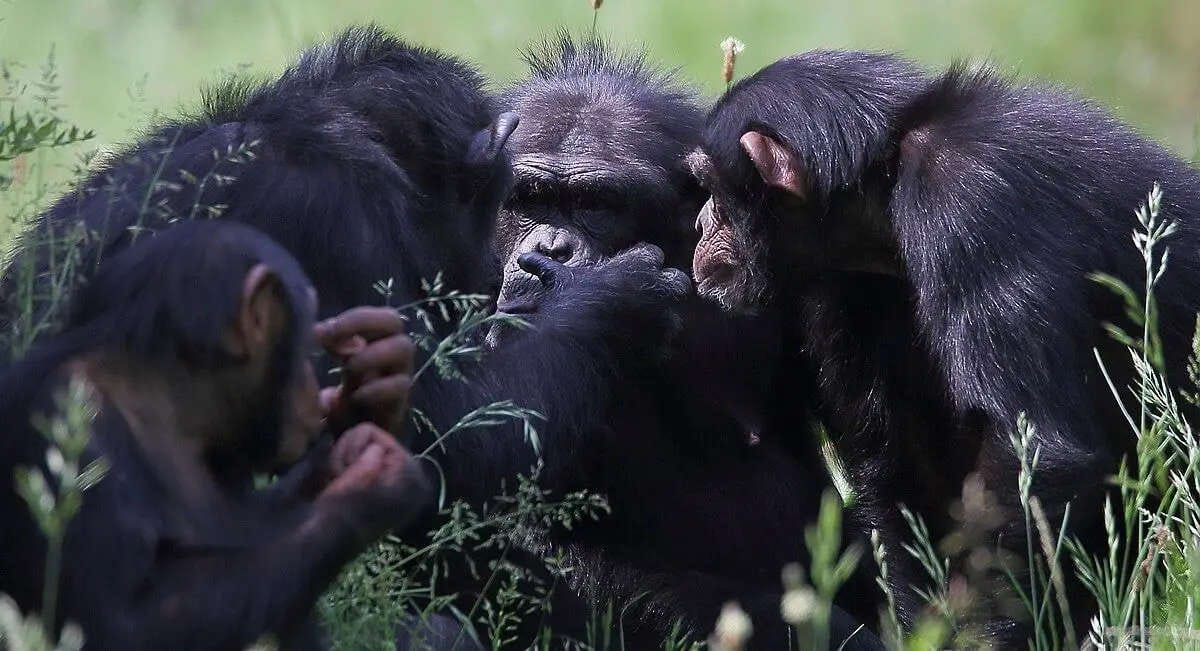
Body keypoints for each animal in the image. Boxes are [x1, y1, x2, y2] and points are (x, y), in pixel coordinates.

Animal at [0, 222, 432, 648]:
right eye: (306, 343)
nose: (313, 388)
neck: (167, 403)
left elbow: (259, 516)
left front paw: (378, 384)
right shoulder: (63, 416)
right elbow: (122, 621)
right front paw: (373, 486)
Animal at [686, 49, 1200, 643]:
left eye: (711, 186)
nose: (699, 223)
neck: (882, 178)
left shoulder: (971, 206)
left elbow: (1032, 455)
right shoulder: (841, 289)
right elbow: (905, 465)